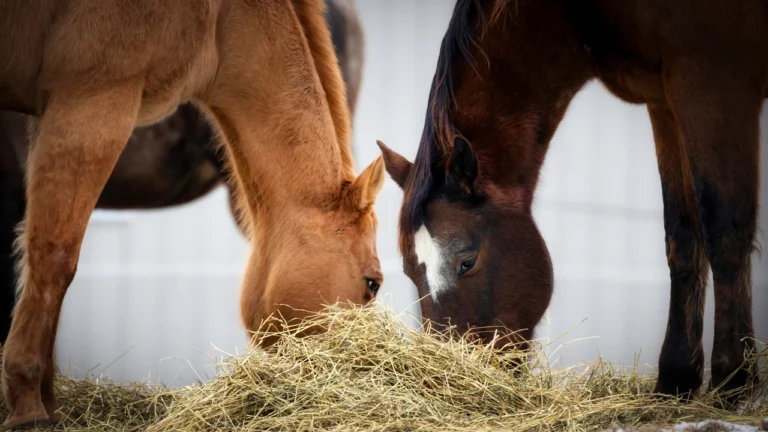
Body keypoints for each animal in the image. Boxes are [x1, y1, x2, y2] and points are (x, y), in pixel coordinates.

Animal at [0, 0, 384, 427]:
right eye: (372, 284)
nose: (364, 373)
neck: (221, 20)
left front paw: (47, 404)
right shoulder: (91, 104)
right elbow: (53, 259)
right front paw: (30, 409)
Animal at [377, 0, 767, 402]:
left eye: (467, 262)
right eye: (409, 272)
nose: (445, 383)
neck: (581, 15)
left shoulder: (712, 80)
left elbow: (724, 231)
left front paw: (734, 382)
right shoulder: (664, 101)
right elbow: (683, 238)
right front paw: (676, 381)